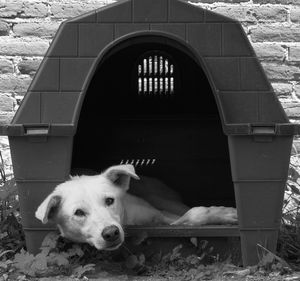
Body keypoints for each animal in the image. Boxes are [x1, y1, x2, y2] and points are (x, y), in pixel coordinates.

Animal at [35, 164, 237, 249]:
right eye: (78, 213)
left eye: (109, 201)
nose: (111, 233)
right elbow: (190, 217)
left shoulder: (161, 214)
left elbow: (194, 213)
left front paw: (226, 213)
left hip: (161, 198)